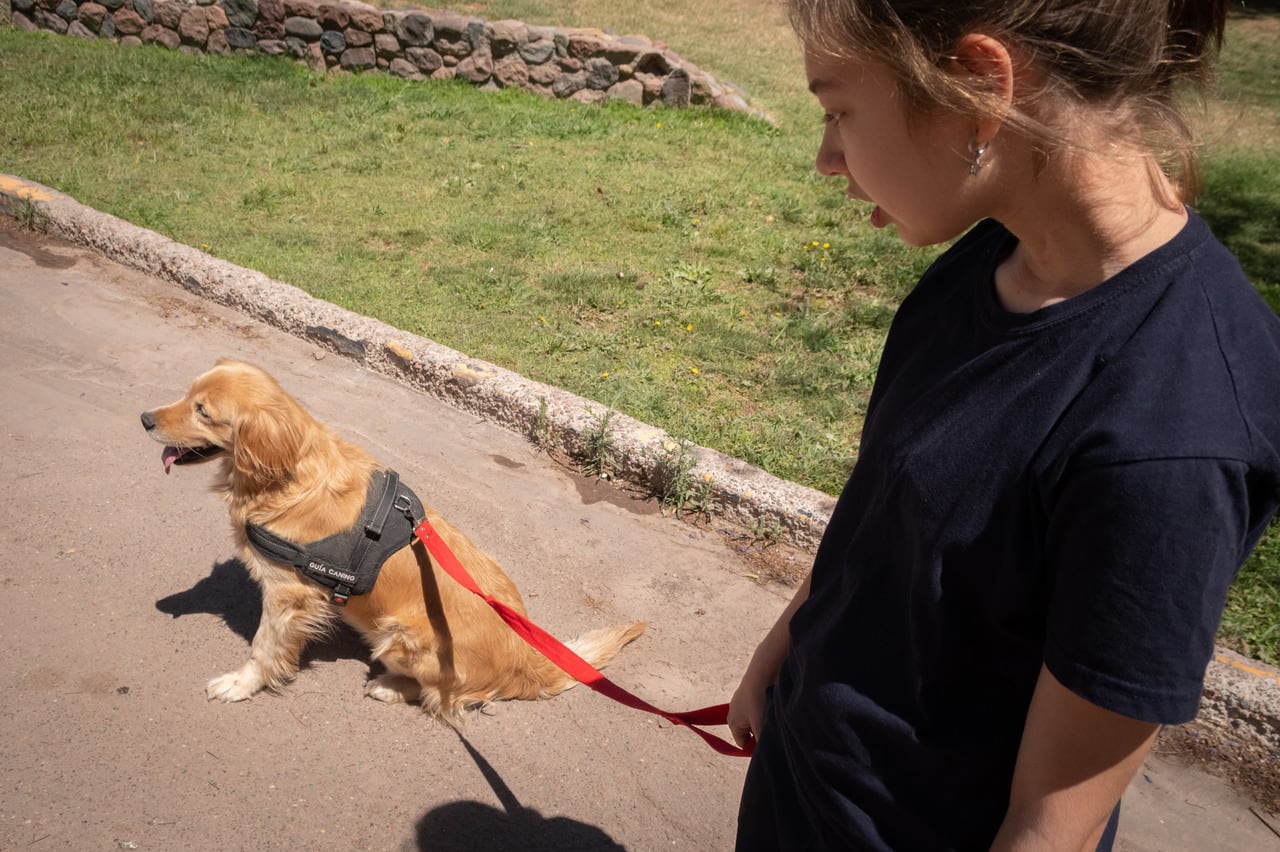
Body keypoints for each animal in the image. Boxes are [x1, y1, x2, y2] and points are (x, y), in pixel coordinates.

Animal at [141, 355, 645, 711]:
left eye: (203, 412)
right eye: (187, 394)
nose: (145, 418)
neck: (287, 475)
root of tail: (524, 658)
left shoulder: (288, 595)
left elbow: (264, 648)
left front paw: (241, 684)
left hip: (399, 634)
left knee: (445, 697)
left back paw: (390, 687)